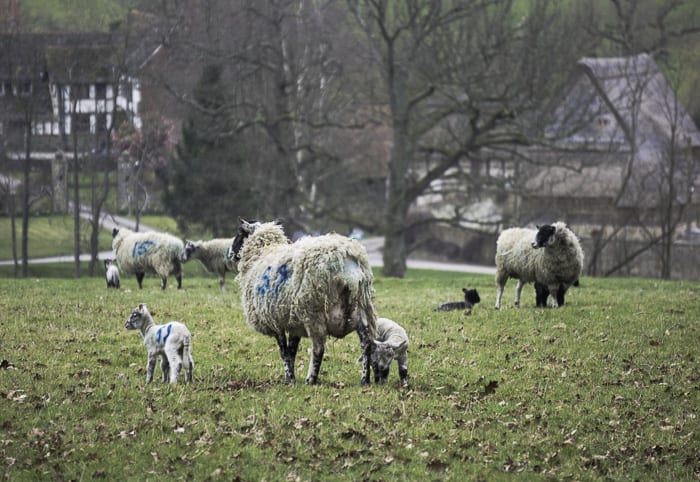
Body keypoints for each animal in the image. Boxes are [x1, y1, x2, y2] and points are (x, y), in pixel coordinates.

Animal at [227, 220, 378, 386]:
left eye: (239, 233)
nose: (229, 253)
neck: (261, 253)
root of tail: (346, 259)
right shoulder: (294, 323)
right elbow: (292, 351)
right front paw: (291, 377)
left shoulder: (275, 320)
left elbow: (284, 352)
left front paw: (289, 378)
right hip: (360, 306)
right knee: (366, 343)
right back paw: (365, 379)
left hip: (313, 311)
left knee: (318, 348)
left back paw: (311, 379)